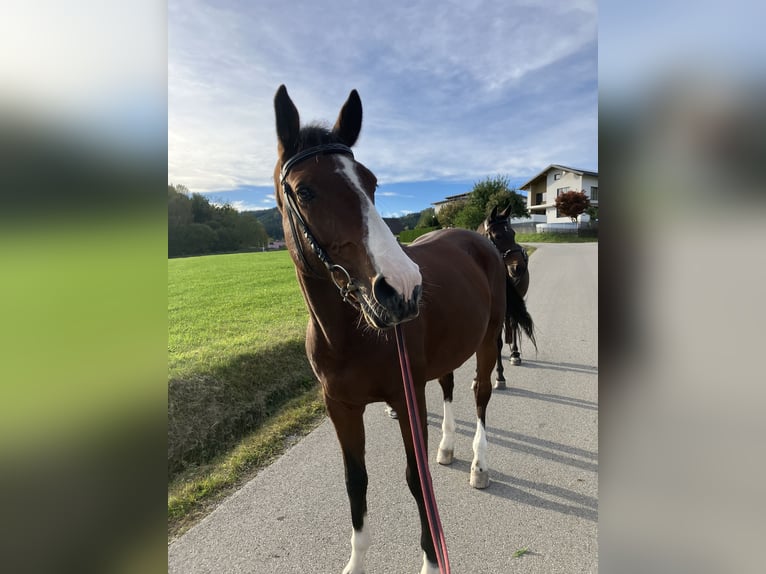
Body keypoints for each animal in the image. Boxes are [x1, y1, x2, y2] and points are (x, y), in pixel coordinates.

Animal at [480, 207, 536, 388]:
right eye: (497, 236)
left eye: (513, 233)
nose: (518, 268)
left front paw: (499, 376)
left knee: (513, 323)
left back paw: (515, 353)